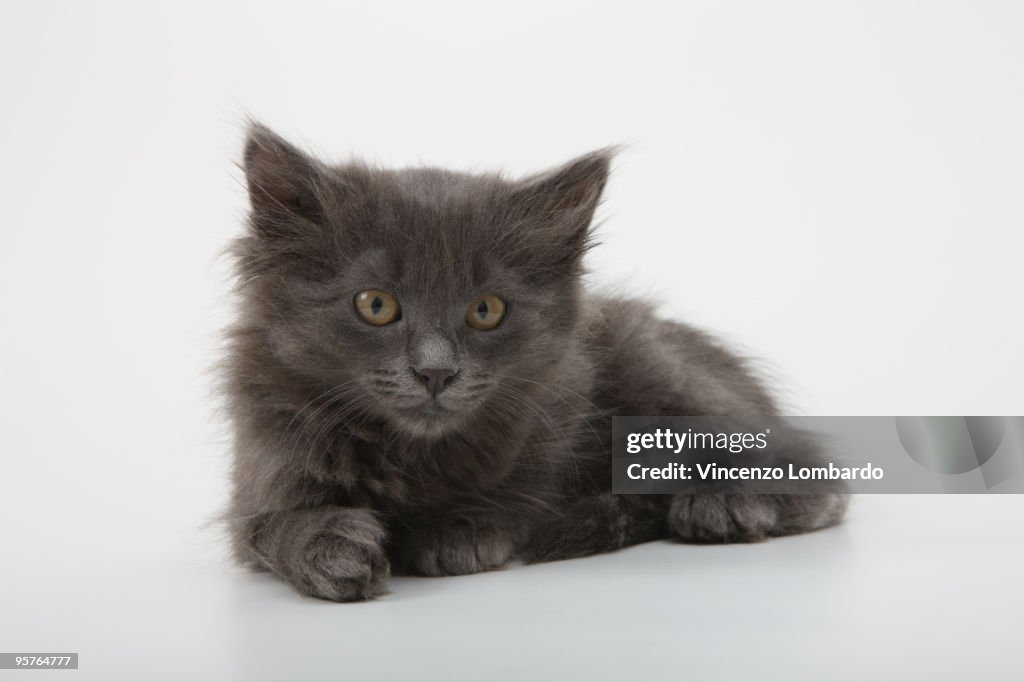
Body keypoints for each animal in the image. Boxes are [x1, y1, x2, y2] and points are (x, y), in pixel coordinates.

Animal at [224, 123, 847, 602]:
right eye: (375, 304)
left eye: (486, 310)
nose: (436, 372)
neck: (414, 456)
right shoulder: (260, 471)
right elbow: (267, 528)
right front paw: (329, 548)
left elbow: (510, 495)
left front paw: (457, 531)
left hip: (666, 373)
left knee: (816, 474)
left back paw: (724, 507)